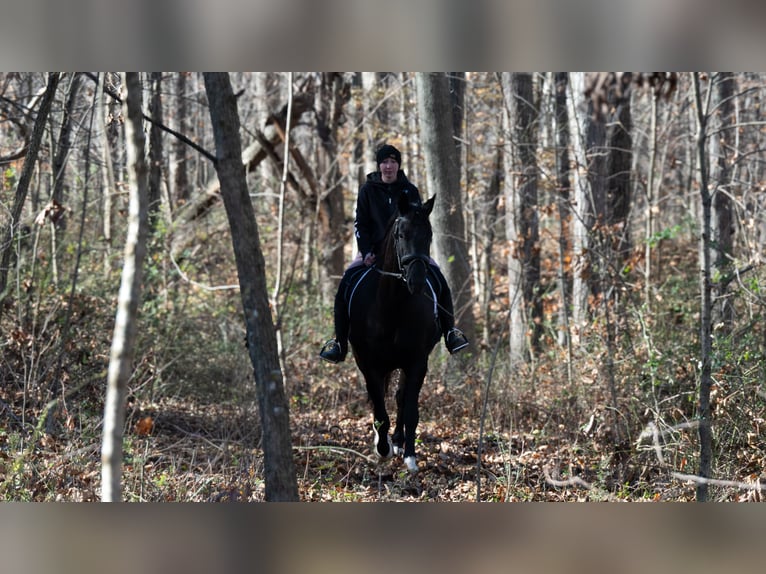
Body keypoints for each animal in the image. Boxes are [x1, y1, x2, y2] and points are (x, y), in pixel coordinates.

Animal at [347, 193, 441, 473]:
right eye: (401, 234)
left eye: (429, 234)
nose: (417, 281)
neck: (392, 306)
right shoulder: (368, 363)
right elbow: (379, 409)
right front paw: (382, 448)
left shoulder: (417, 362)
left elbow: (409, 409)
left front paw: (409, 454)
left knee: (400, 398)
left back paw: (399, 442)